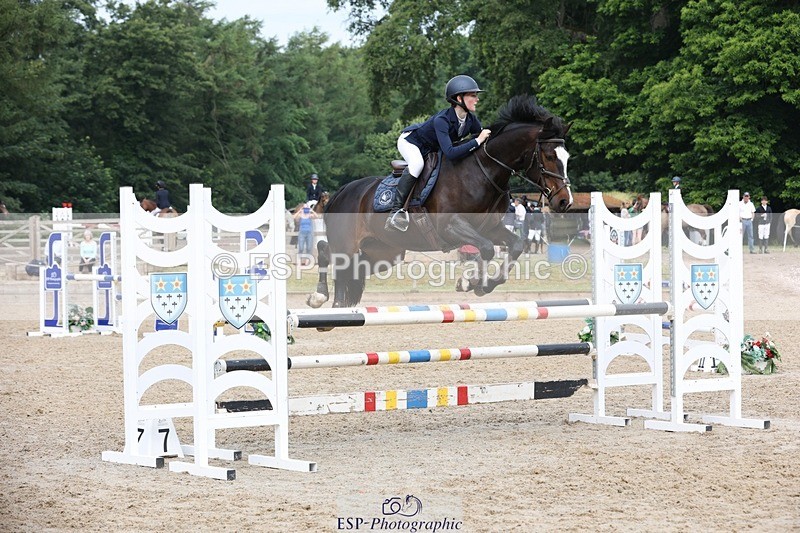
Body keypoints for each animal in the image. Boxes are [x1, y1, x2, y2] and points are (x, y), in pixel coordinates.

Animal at [307, 95, 574, 309]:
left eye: (567, 157)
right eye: (549, 156)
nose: (565, 202)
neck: (483, 172)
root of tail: (341, 193)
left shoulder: (489, 227)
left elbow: (513, 245)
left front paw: (479, 284)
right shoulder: (450, 226)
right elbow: (486, 248)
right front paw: (473, 282)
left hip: (385, 251)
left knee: (354, 267)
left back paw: (336, 303)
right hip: (347, 243)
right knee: (326, 252)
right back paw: (319, 297)